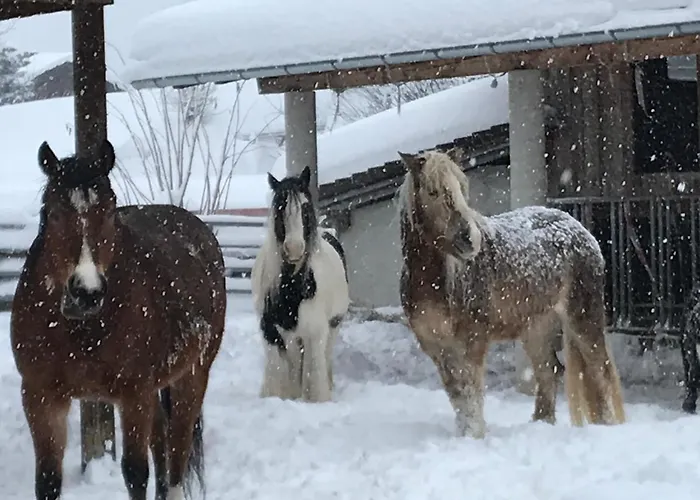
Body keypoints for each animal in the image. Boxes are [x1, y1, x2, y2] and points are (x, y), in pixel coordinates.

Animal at [11, 139, 226, 500]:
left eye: (110, 211)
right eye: (53, 214)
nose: (86, 292)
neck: (81, 329)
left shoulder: (134, 395)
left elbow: (135, 473)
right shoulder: (41, 398)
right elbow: (48, 481)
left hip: (192, 377)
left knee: (177, 452)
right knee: (162, 441)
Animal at [251, 166, 349, 403]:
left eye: (305, 206)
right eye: (280, 208)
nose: (294, 248)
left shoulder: (315, 333)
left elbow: (313, 376)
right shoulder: (272, 332)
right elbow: (280, 375)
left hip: (333, 327)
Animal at [396, 149, 626, 438]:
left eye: (462, 187)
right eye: (432, 191)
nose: (469, 239)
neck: (437, 280)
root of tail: (580, 229)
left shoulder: (472, 340)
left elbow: (471, 392)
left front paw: (474, 435)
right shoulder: (436, 346)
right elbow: (457, 394)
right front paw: (464, 434)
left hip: (583, 318)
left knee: (599, 372)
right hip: (537, 328)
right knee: (549, 371)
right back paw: (541, 425)